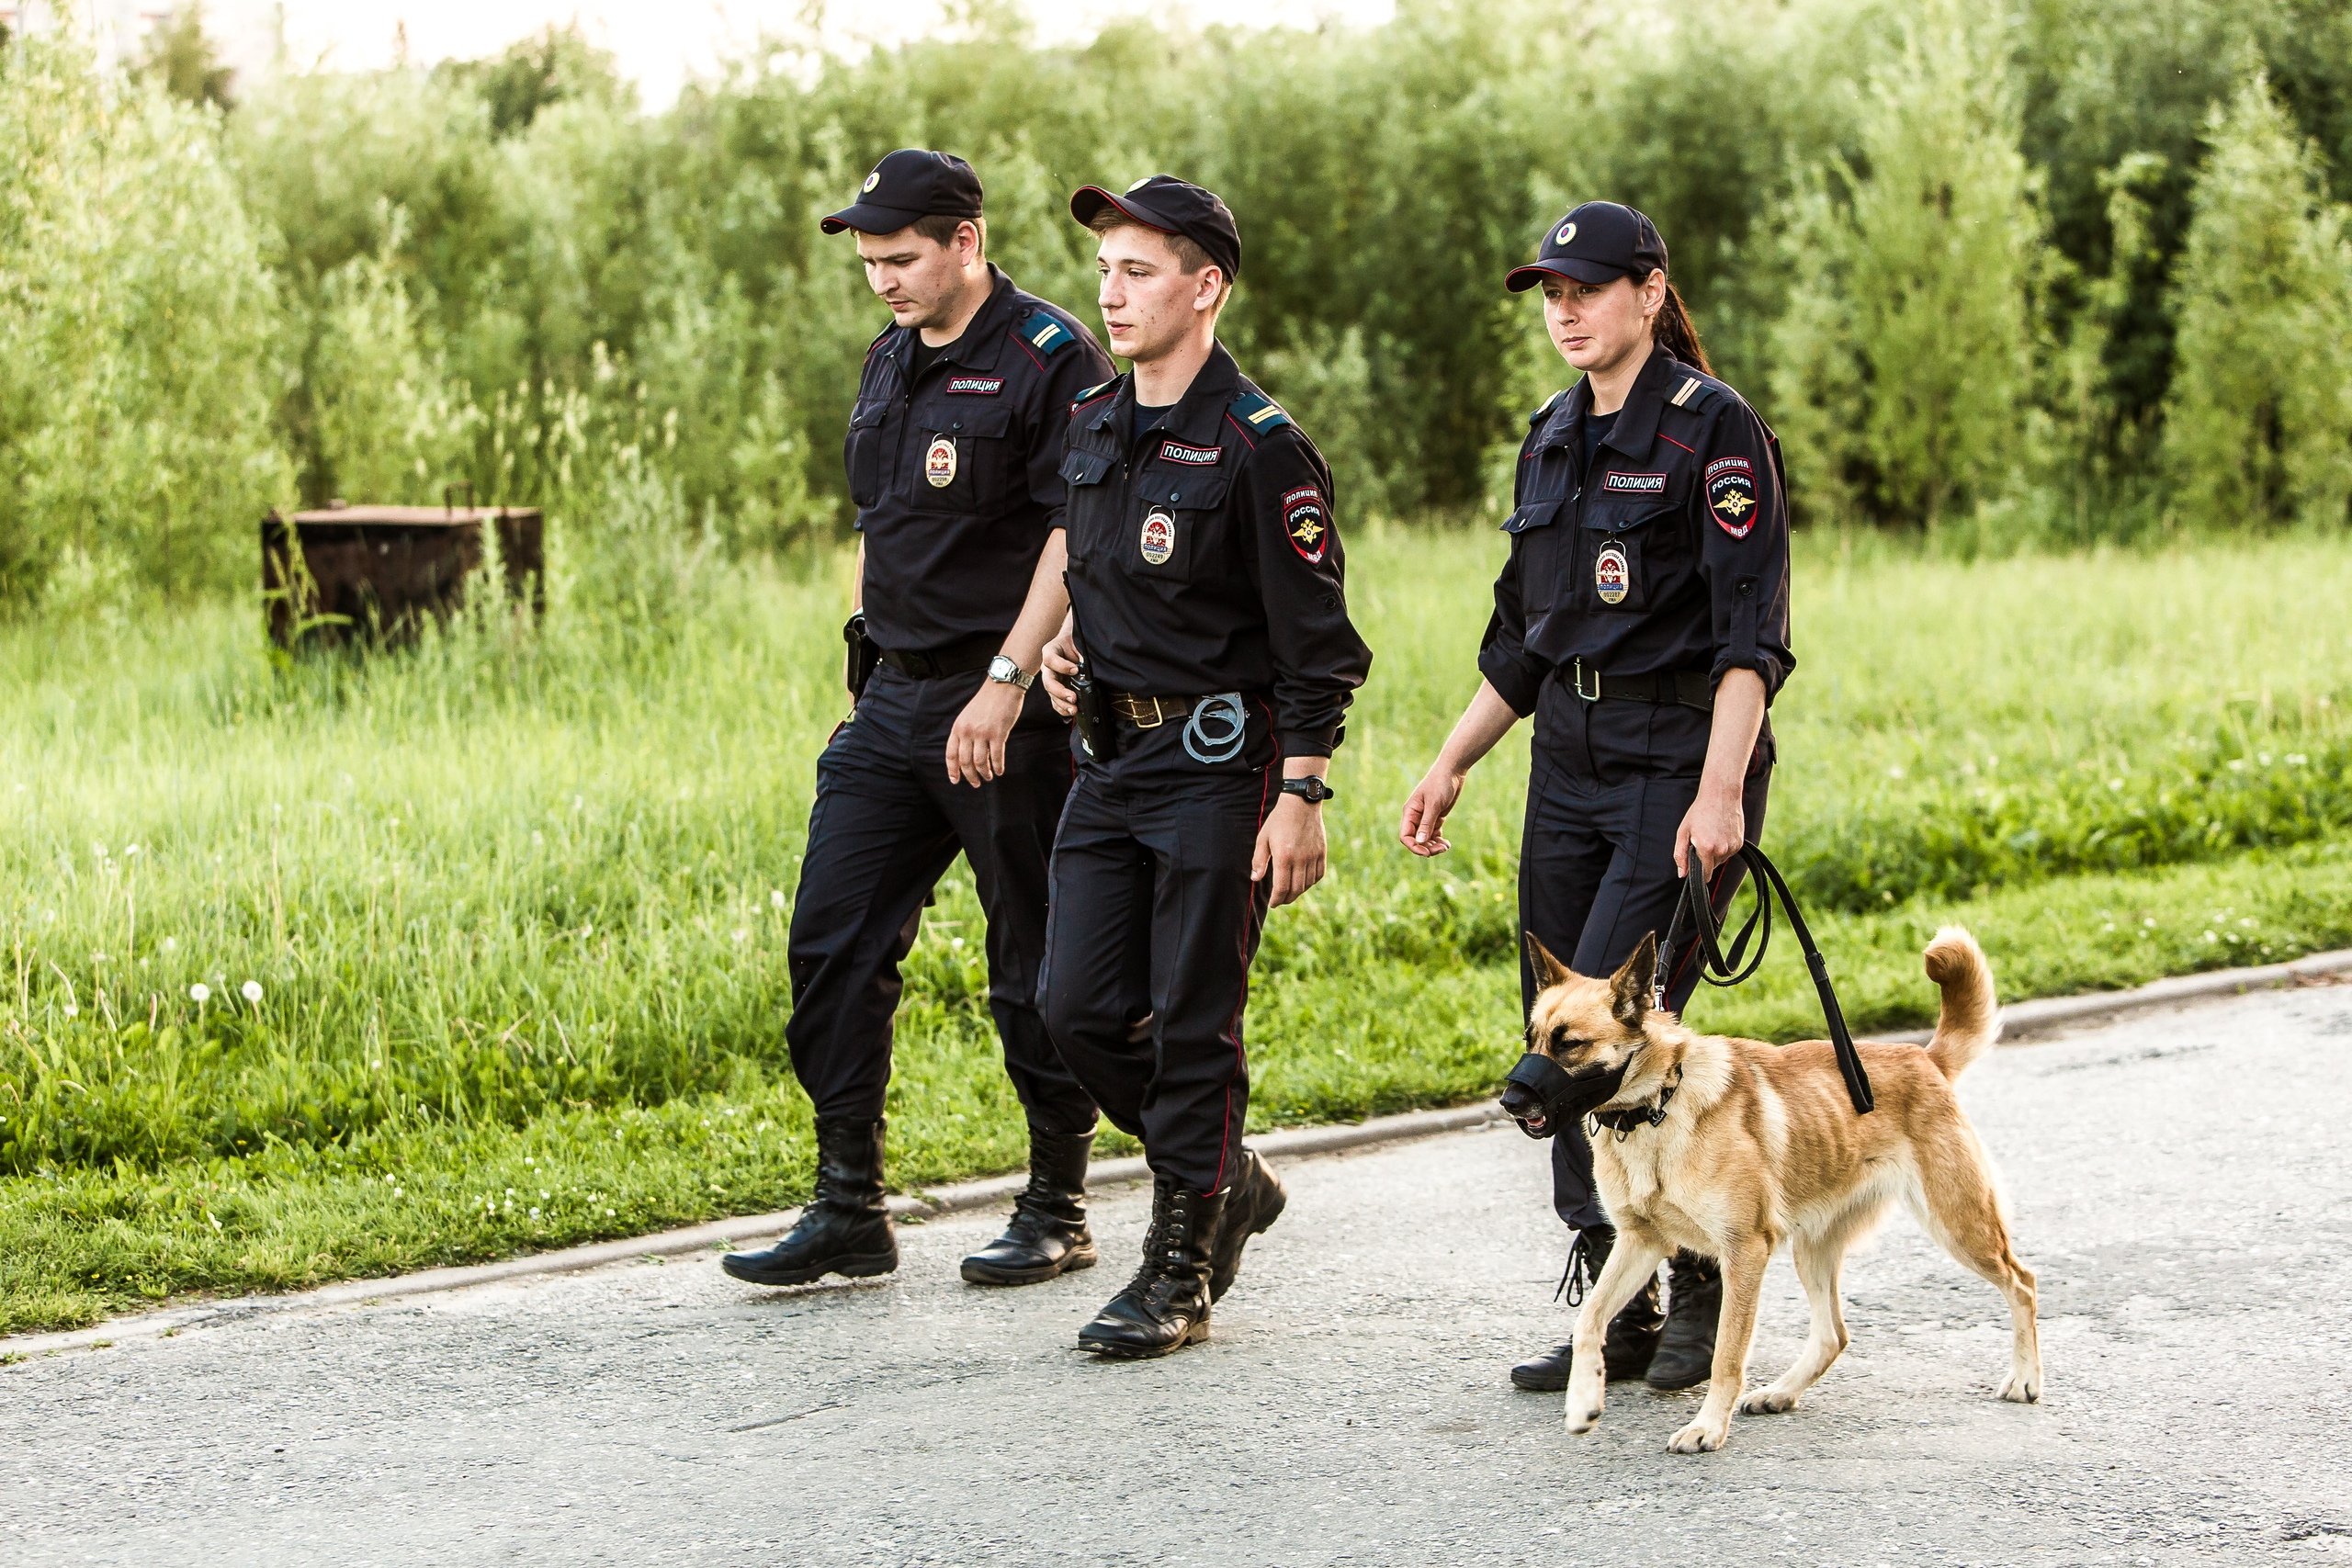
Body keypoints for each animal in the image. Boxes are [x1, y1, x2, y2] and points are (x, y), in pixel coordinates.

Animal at [1505, 926, 2041, 1457]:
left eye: (1570, 1044)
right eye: (1531, 1039)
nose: (1509, 1100)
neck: (1658, 1105)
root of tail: (1924, 1057)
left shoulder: (1744, 1253)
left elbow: (1726, 1354)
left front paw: (1707, 1427)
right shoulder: (1640, 1243)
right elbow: (1588, 1321)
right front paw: (1583, 1401)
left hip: (1959, 1225)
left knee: (2023, 1284)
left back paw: (2025, 1378)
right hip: (1813, 1249)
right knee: (1833, 1336)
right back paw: (1780, 1393)